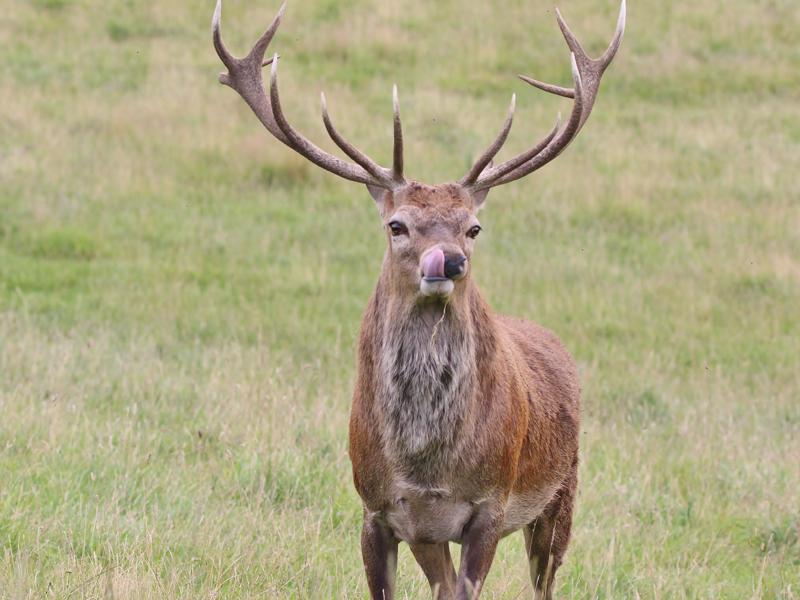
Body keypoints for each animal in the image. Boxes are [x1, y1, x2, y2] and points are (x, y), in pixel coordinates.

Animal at [212, 2, 624, 596]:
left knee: (544, 579)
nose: (448, 260)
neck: (426, 467)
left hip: (561, 490)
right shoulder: (379, 510)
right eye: (396, 225)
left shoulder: (490, 505)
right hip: (436, 534)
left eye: (473, 227)